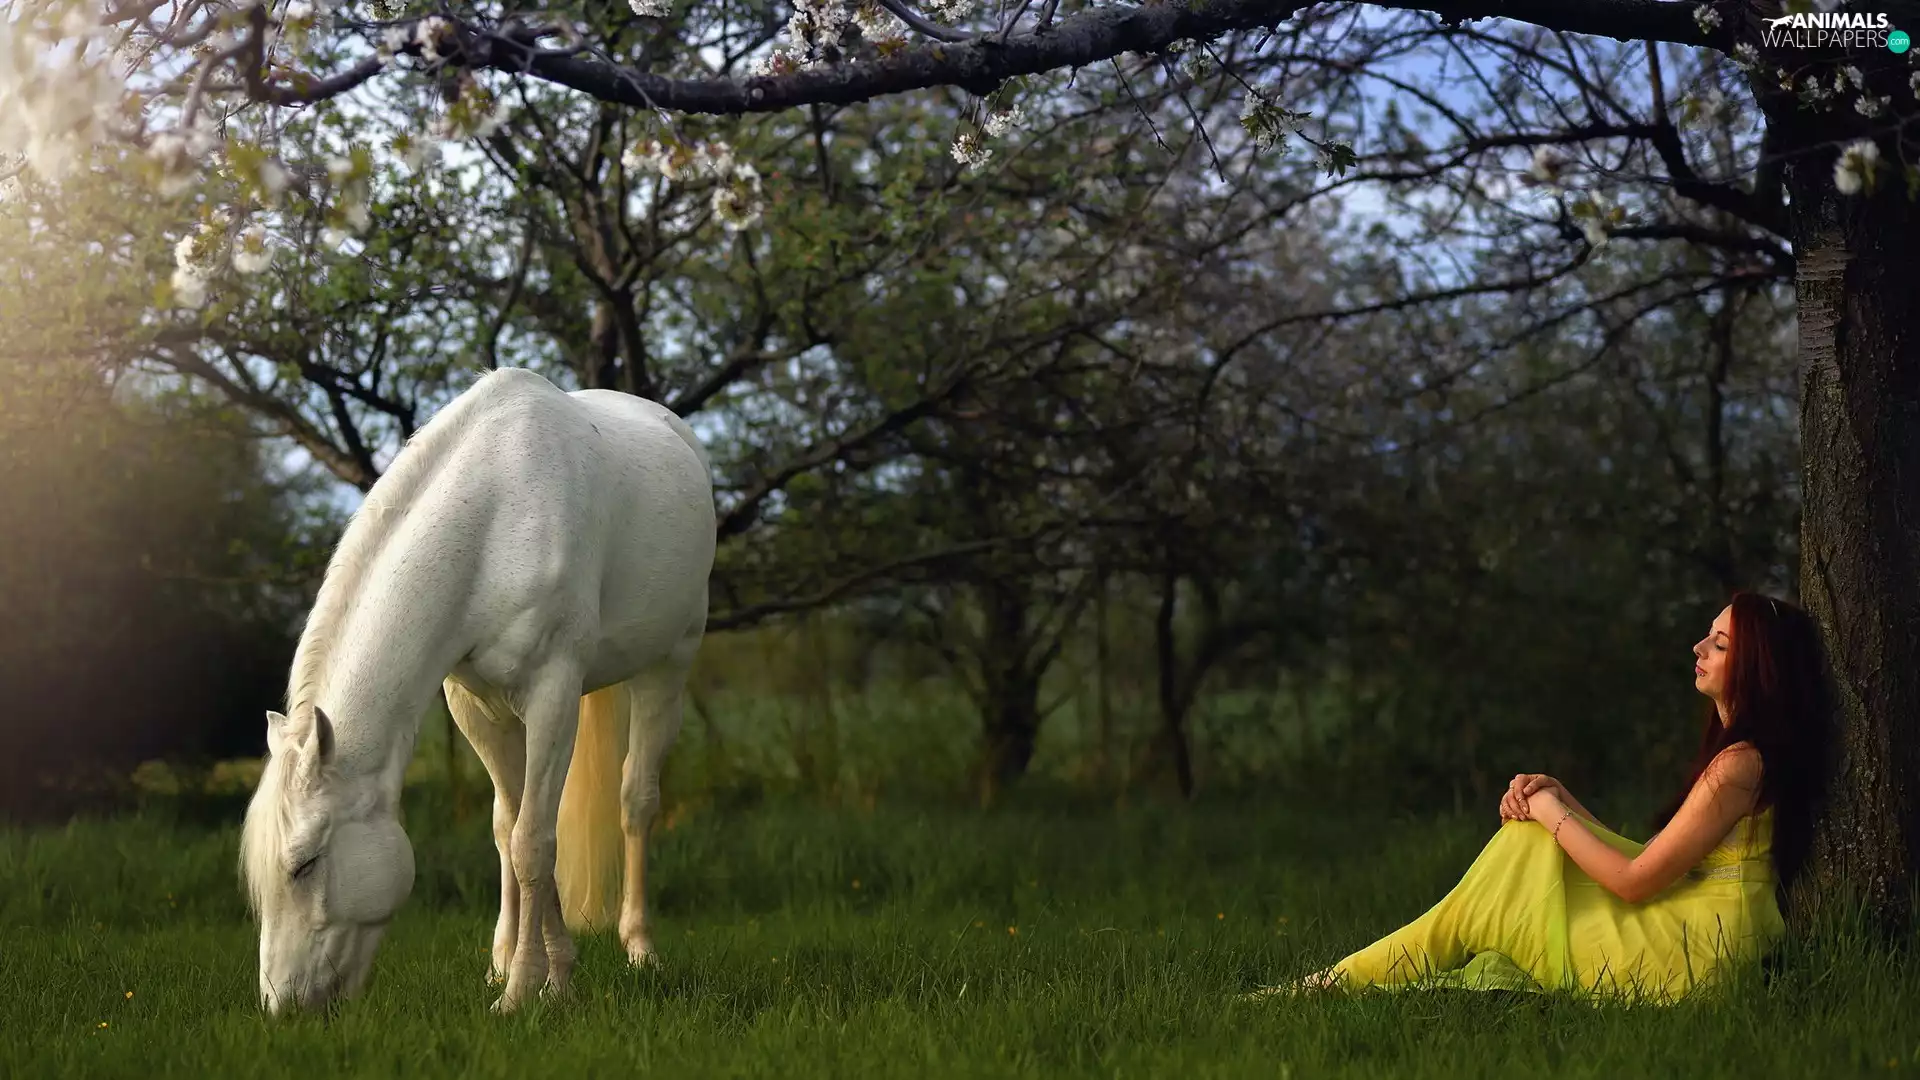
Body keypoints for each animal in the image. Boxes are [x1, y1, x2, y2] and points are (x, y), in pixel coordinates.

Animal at [239, 367, 716, 1014]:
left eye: (306, 864)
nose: (282, 1007)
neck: (491, 521)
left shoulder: (552, 694)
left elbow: (534, 842)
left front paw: (522, 993)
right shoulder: (475, 706)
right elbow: (510, 829)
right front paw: (546, 975)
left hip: (668, 665)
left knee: (636, 799)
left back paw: (641, 949)